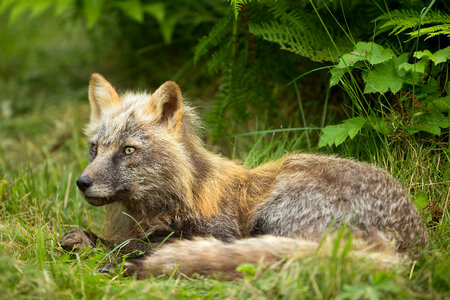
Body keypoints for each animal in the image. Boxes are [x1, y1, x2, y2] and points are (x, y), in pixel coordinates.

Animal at [59, 74, 428, 280]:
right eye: (95, 148)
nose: (83, 183)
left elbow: (135, 243)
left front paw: (103, 247)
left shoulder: (221, 232)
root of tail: (413, 242)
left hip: (272, 216)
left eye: (128, 150)